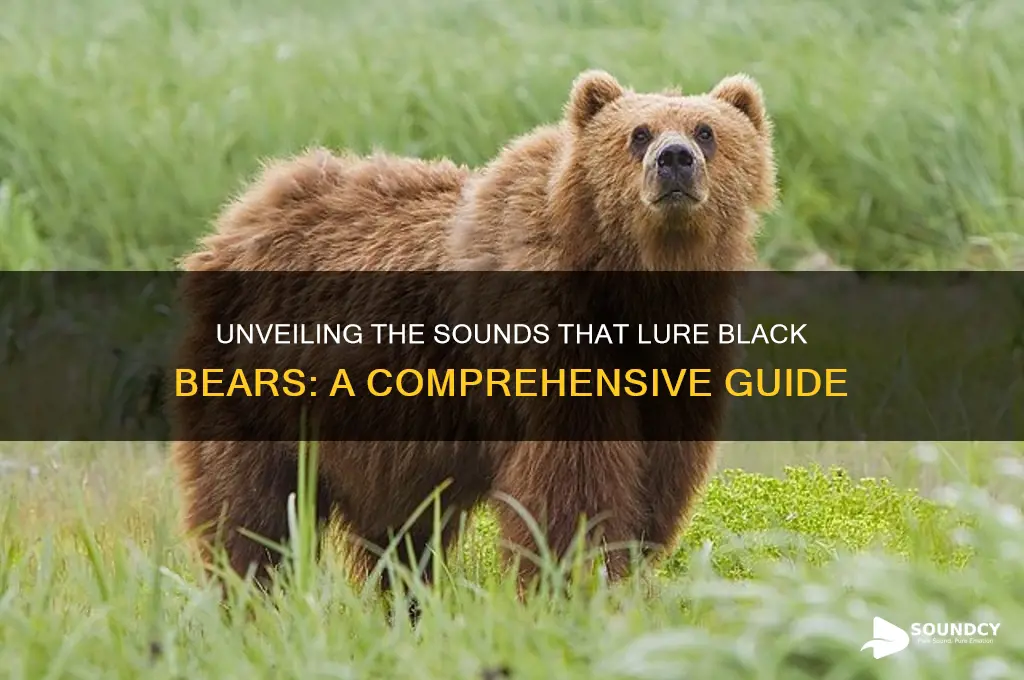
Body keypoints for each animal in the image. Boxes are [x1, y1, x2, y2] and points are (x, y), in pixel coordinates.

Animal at [171, 68, 777, 602]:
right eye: (639, 133)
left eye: (707, 130)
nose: (675, 160)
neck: (636, 289)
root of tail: (243, 212)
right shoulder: (545, 341)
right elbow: (571, 487)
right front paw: (571, 583)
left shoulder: (677, 360)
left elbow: (655, 478)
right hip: (259, 387)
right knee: (250, 511)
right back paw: (248, 598)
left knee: (399, 534)